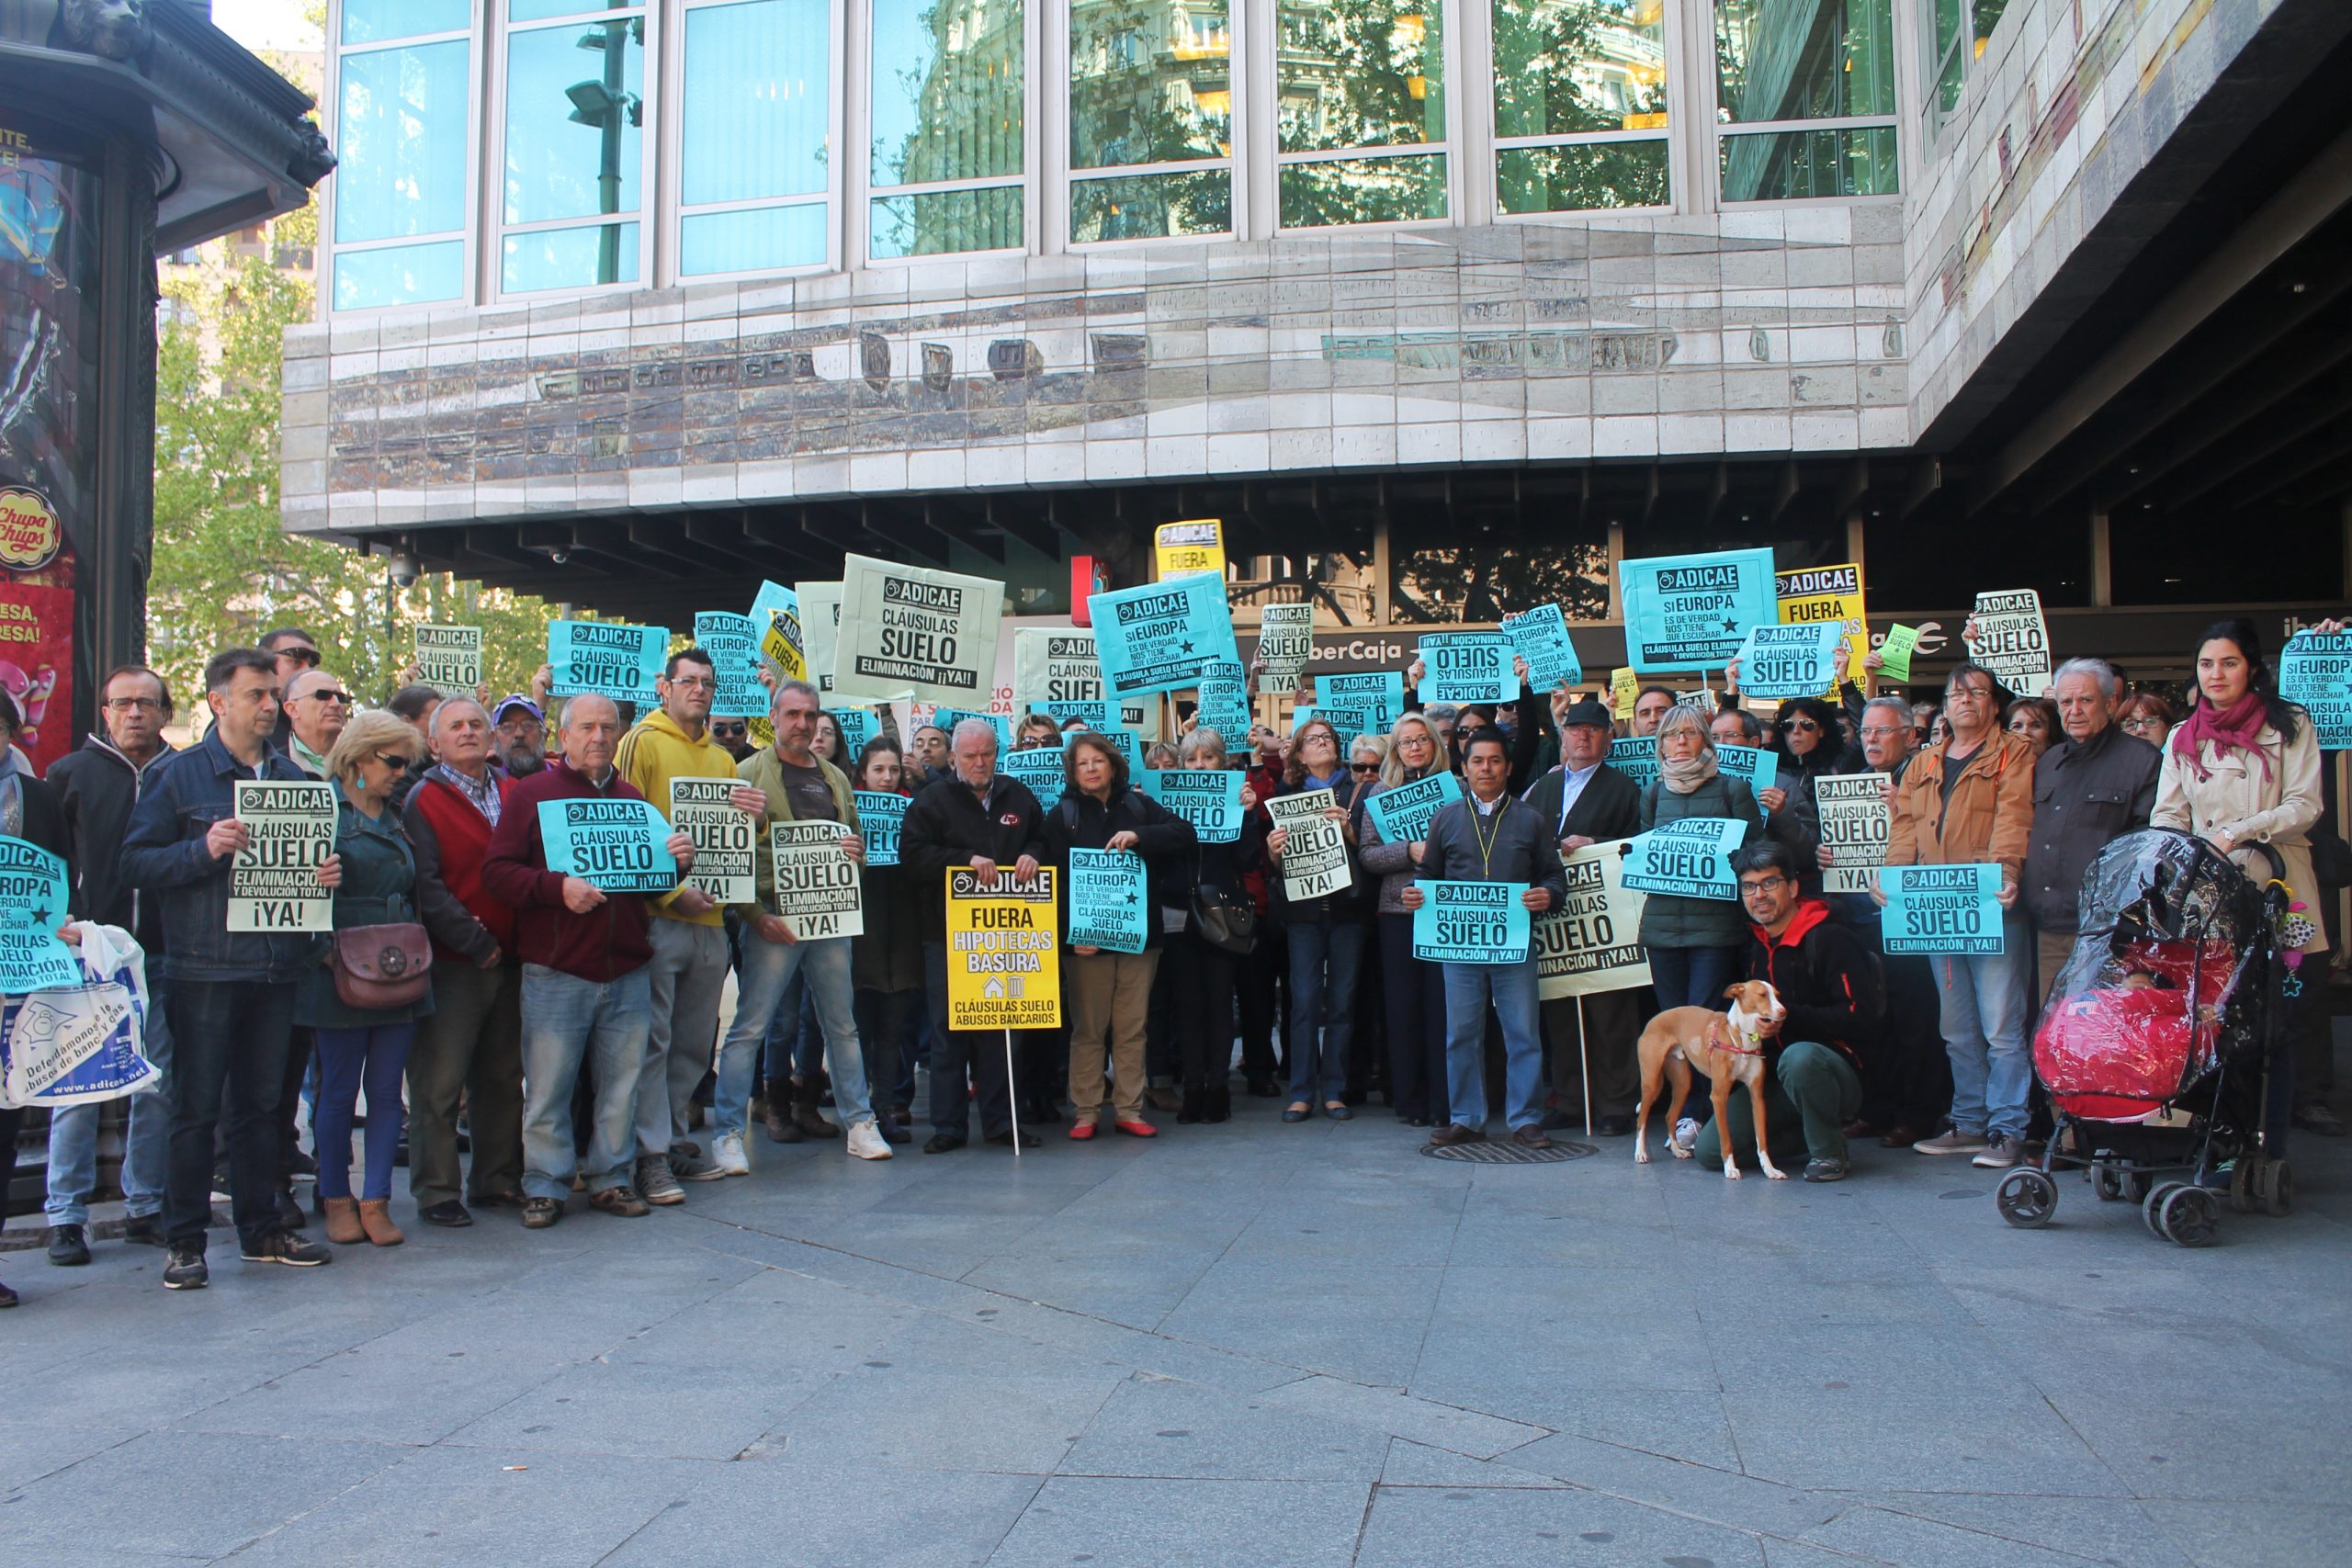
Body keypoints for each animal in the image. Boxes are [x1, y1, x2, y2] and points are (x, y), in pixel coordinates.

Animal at [1636, 982, 1778, 1175]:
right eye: (1762, 995)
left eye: (1777, 995)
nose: (1783, 1011)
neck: (1741, 1038)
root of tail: (1652, 1020)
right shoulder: (1718, 1096)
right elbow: (1725, 1140)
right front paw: (1730, 1168)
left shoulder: (1757, 1097)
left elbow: (1761, 1140)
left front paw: (1770, 1170)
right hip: (1651, 1082)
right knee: (1641, 1120)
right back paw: (1640, 1153)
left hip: (1683, 1084)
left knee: (1670, 1117)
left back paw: (1677, 1150)